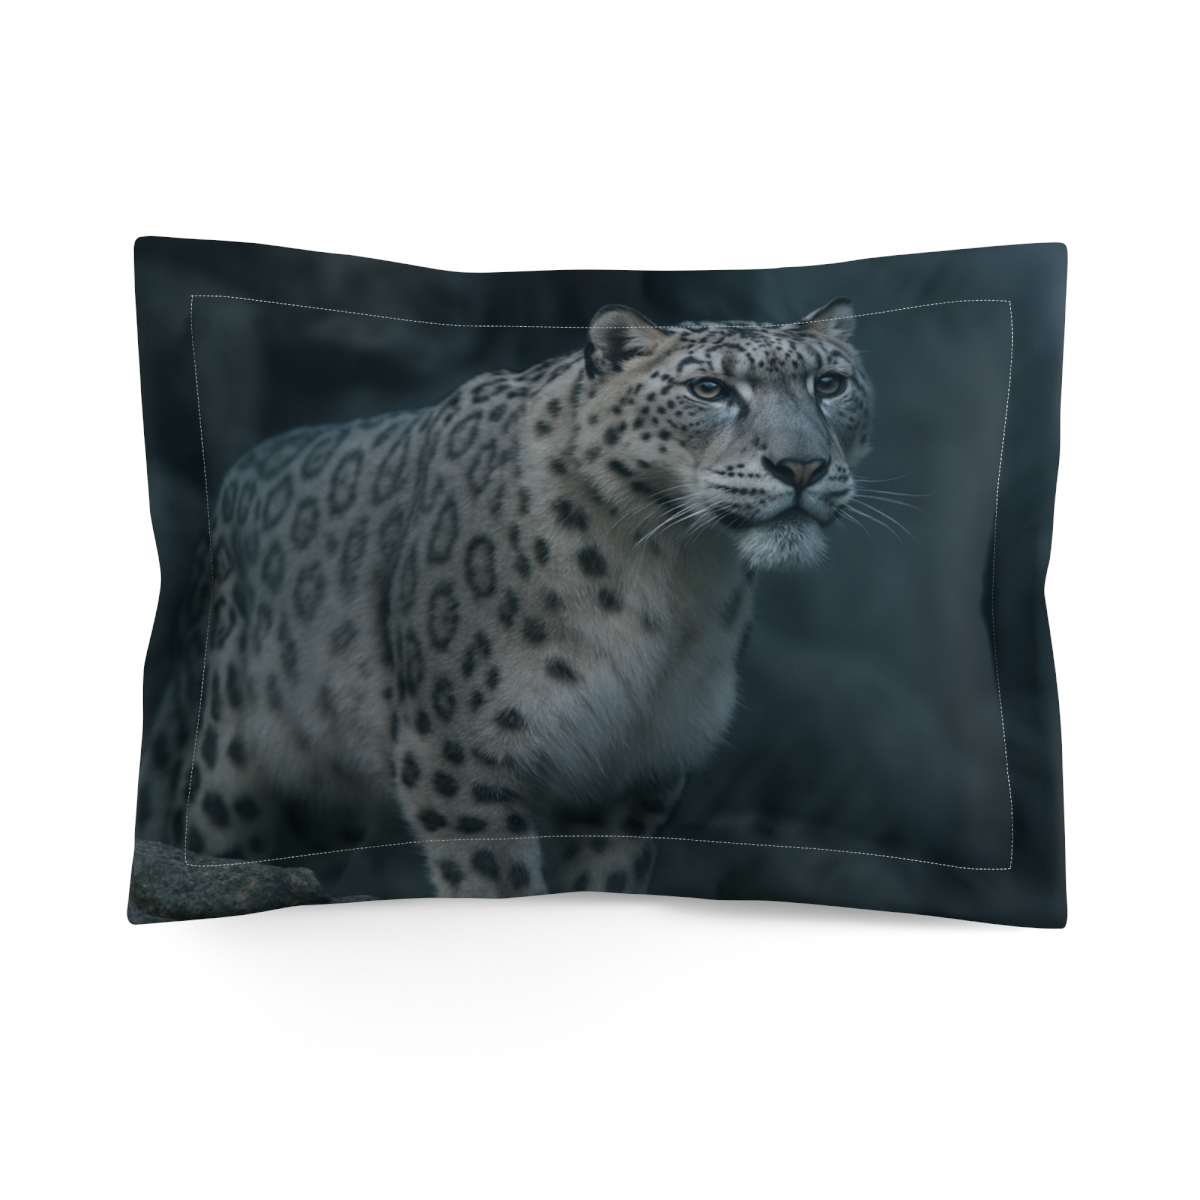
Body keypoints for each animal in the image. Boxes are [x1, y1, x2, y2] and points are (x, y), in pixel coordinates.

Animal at [137, 299, 874, 898]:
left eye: (829, 384)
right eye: (711, 388)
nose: (801, 466)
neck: (675, 578)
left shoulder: (639, 773)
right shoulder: (462, 755)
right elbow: (498, 882)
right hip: (224, 780)